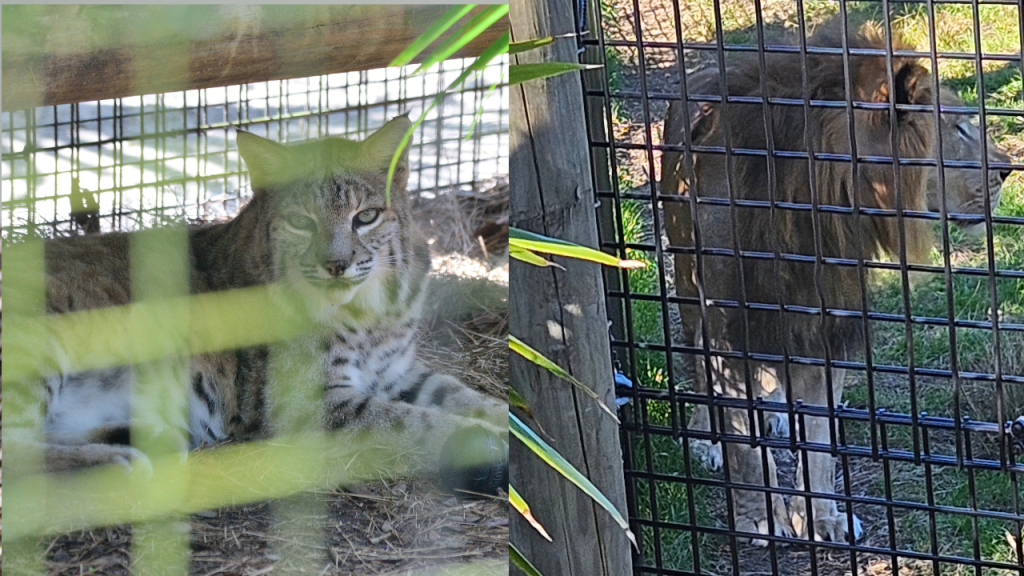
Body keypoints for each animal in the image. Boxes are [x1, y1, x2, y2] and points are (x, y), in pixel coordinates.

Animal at [660, 19, 1009, 546]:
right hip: (686, 279)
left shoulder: (829, 327)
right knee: (698, 361)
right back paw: (710, 437)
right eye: (959, 128)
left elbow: (822, 441)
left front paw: (822, 517)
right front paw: (760, 516)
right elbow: (747, 446)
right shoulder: (729, 326)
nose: (1008, 169)